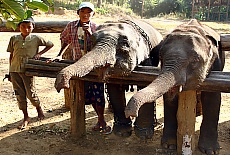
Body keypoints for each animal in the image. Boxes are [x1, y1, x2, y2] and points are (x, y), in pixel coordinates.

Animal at [125, 18, 226, 154]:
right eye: (161, 56)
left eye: (195, 61)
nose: (131, 114)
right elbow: (170, 100)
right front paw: (168, 146)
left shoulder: (216, 66)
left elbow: (212, 99)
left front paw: (210, 151)